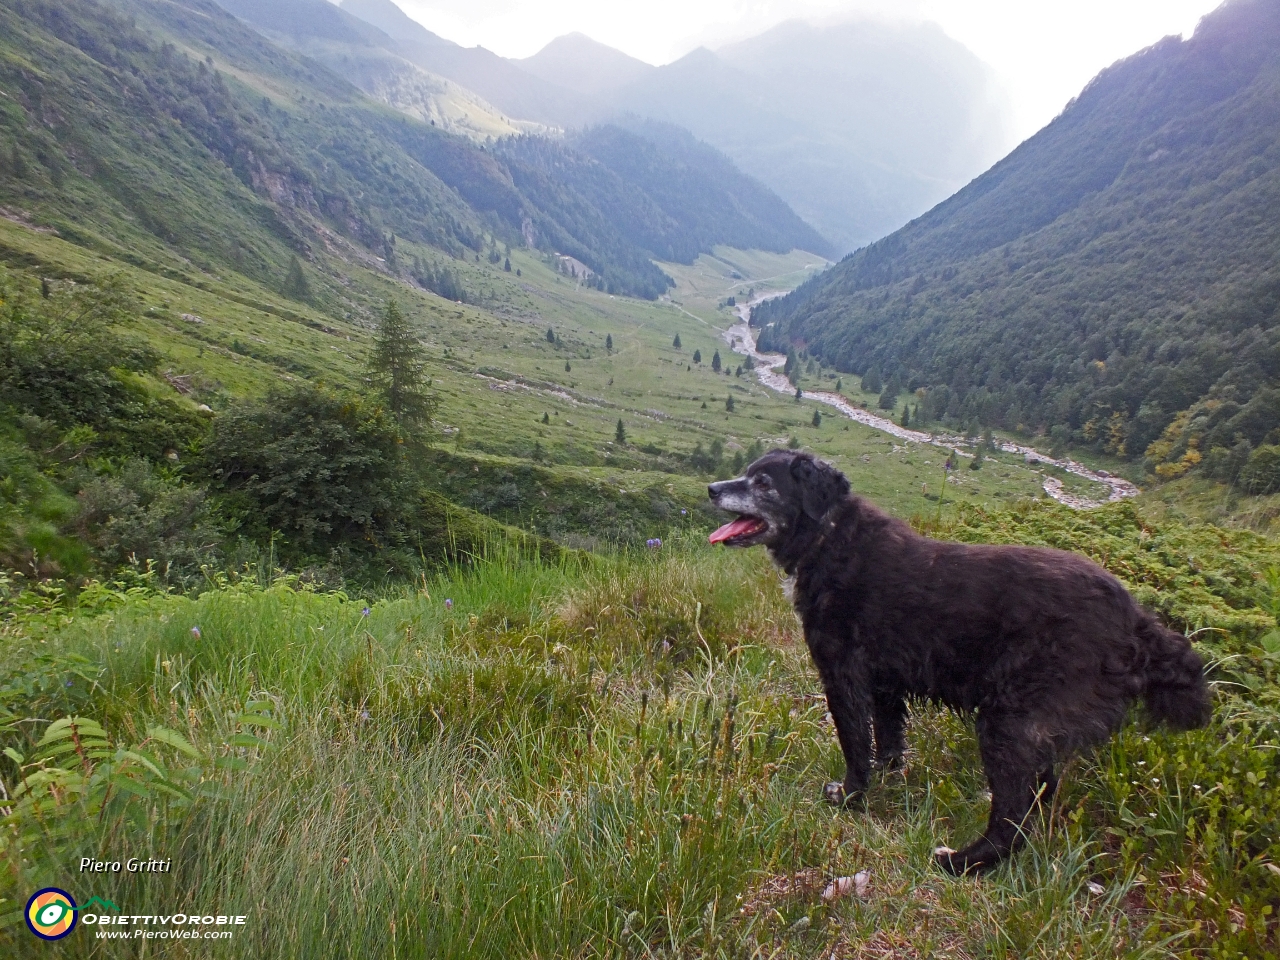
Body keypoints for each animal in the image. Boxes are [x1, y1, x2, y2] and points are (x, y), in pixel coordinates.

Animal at [711, 450, 1208, 880]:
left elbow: (854, 743)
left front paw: (850, 795)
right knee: (1037, 792)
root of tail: (1136, 623)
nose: (712, 488)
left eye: (763, 482)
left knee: (1013, 821)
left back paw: (961, 862)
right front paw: (888, 781)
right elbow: (887, 743)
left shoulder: (843, 677)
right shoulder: (886, 686)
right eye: (745, 472)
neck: (828, 538)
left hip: (1007, 720)